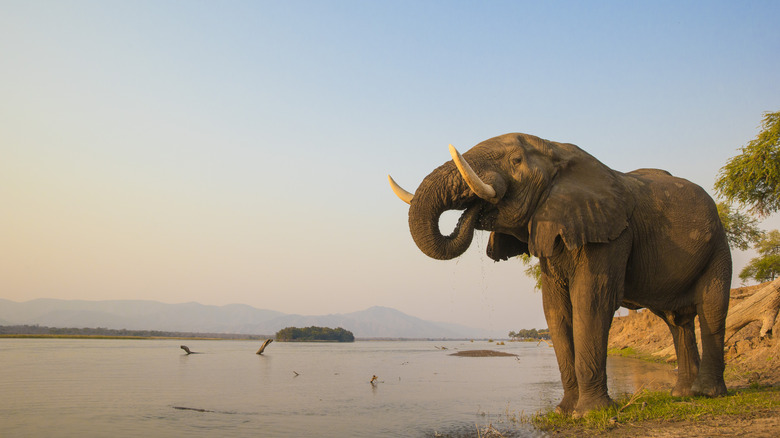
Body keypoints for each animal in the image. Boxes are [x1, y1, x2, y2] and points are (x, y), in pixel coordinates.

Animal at [389, 133, 731, 417]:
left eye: (515, 161)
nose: (475, 210)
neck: (558, 151)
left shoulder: (611, 234)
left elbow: (591, 302)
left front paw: (589, 414)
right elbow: (555, 310)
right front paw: (565, 411)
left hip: (718, 244)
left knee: (711, 309)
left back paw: (708, 394)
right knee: (677, 321)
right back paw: (682, 395)